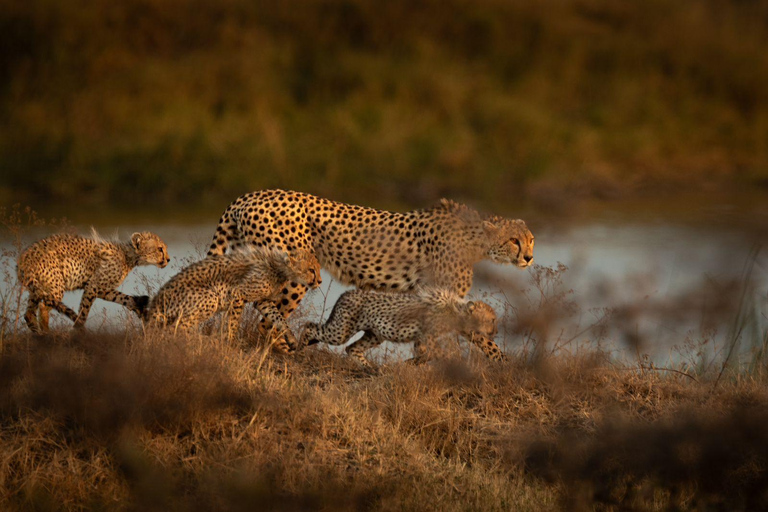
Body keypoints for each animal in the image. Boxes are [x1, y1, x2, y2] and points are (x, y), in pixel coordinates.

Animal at [16, 231, 170, 334]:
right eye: (160, 249)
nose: (168, 259)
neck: (128, 256)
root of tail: (24, 257)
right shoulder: (93, 286)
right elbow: (83, 313)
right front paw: (78, 330)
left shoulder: (103, 289)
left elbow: (124, 298)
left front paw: (140, 307)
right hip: (55, 287)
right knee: (43, 308)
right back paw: (47, 334)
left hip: (37, 289)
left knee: (28, 314)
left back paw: (39, 336)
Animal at [148, 246, 320, 346]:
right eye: (311, 270)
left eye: (318, 269)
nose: (319, 281)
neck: (280, 268)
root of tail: (155, 302)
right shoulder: (238, 294)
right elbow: (234, 322)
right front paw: (231, 340)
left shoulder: (263, 301)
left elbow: (278, 318)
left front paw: (291, 338)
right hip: (210, 297)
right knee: (176, 328)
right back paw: (200, 339)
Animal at [208, 190, 536, 350]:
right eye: (514, 240)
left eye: (531, 238)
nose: (530, 257)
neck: (476, 240)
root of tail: (252, 194)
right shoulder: (447, 302)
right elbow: (480, 342)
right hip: (295, 271)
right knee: (263, 303)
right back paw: (279, 343)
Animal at [300, 288, 504, 364]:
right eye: (492, 319)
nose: (496, 331)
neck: (457, 310)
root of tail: (346, 293)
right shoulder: (427, 336)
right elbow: (436, 353)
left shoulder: (423, 338)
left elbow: (426, 354)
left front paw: (411, 363)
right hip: (340, 331)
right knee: (309, 326)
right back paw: (299, 349)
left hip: (375, 335)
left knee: (352, 348)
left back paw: (369, 367)